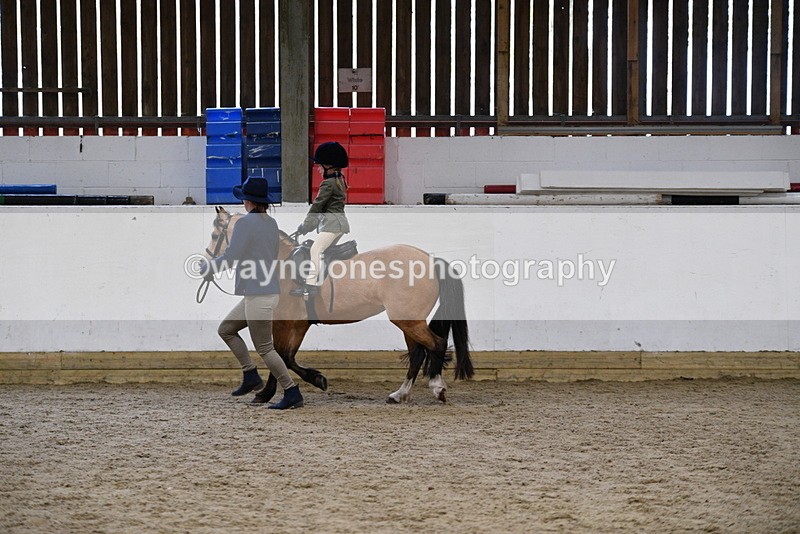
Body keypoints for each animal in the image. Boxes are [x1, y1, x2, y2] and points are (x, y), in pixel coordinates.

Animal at [203, 206, 474, 403]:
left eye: (216, 235)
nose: (205, 263)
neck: (281, 263)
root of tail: (430, 259)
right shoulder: (297, 325)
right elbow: (285, 357)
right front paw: (310, 381)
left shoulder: (286, 323)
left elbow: (280, 356)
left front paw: (289, 387)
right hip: (409, 321)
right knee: (418, 353)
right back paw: (400, 394)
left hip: (408, 320)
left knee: (436, 345)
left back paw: (437, 388)